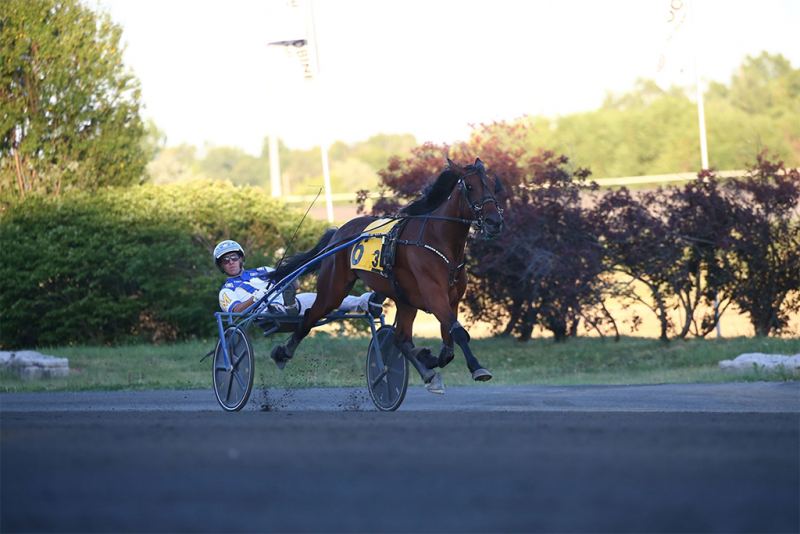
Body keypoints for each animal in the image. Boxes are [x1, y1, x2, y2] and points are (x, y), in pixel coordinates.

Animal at [270, 157, 506, 393]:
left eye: (493, 185)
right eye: (470, 186)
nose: (494, 222)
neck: (438, 239)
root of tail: (338, 234)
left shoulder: (453, 300)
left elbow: (447, 348)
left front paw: (428, 357)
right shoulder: (434, 295)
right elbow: (458, 333)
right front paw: (477, 367)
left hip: (404, 300)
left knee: (401, 339)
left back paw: (426, 370)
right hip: (333, 289)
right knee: (311, 315)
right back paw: (283, 352)